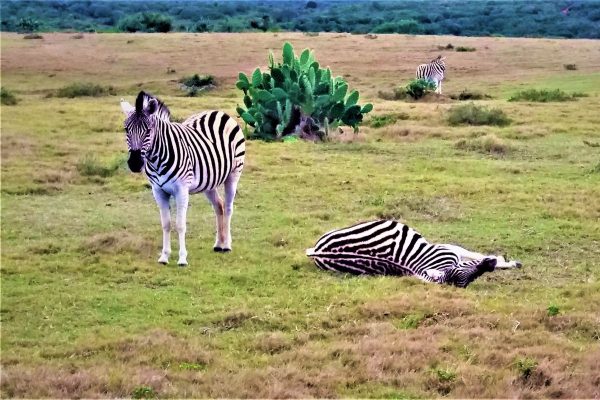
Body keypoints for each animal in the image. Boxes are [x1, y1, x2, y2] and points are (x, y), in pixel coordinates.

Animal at [120, 91, 245, 266]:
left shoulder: (181, 190)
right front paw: (164, 256)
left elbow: (180, 225)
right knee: (218, 206)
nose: (134, 163)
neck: (157, 159)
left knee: (227, 208)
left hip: (233, 174)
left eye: (148, 130)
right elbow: (166, 224)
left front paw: (182, 258)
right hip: (209, 181)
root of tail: (219, 112)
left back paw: (226, 245)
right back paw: (218, 244)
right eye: (126, 129)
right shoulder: (158, 191)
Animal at [304, 219, 520, 288]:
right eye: (467, 275)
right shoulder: (447, 248)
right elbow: (472, 253)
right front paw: (508, 262)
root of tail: (315, 251)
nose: (490, 265)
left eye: (472, 279)